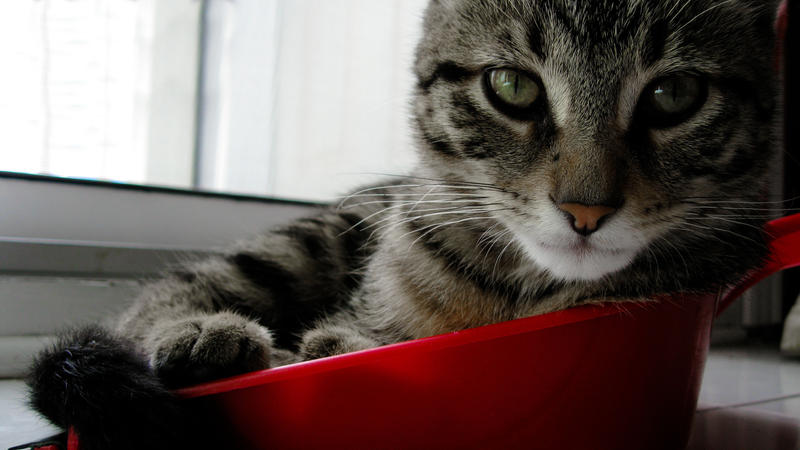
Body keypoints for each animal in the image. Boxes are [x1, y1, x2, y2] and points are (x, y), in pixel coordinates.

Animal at [28, 0, 780, 446]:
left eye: (675, 95)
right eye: (512, 86)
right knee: (162, 298)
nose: (585, 209)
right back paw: (204, 335)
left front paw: (328, 347)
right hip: (305, 241)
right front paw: (328, 346)